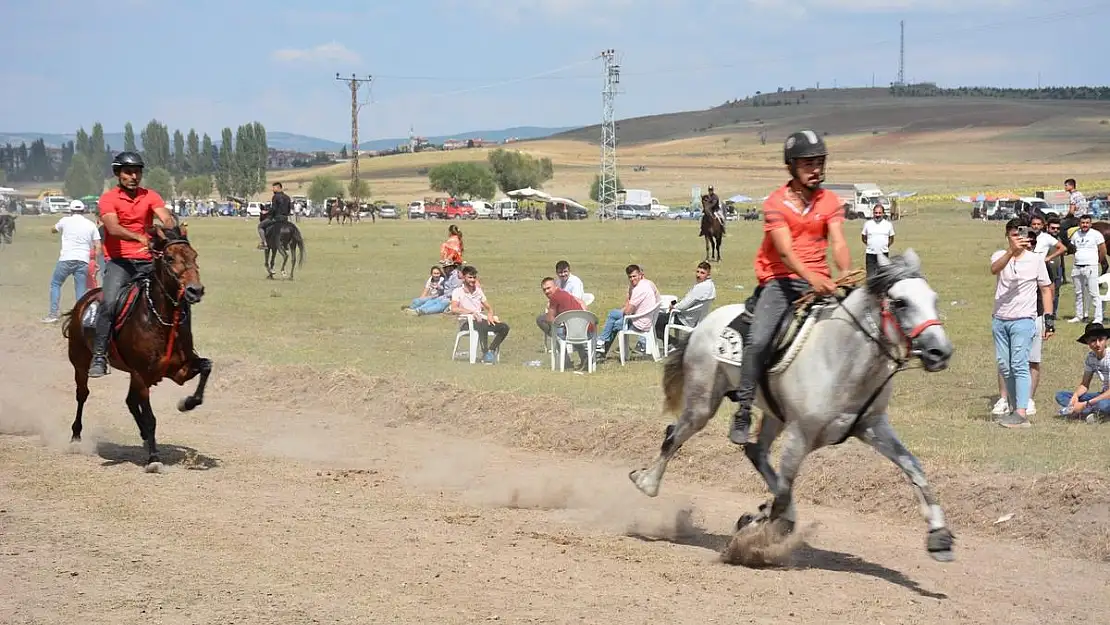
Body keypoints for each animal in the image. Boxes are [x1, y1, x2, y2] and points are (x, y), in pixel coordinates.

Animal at [62, 222, 212, 472]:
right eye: (169, 258)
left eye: (195, 255)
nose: (195, 290)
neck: (160, 318)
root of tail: (82, 303)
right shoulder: (142, 375)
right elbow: (150, 418)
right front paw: (153, 459)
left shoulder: (179, 370)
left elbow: (207, 367)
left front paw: (187, 403)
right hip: (80, 363)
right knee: (82, 395)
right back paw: (75, 437)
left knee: (130, 401)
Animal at [630, 251, 959, 563]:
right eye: (901, 302)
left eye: (934, 299)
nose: (940, 352)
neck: (842, 356)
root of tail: (703, 325)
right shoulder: (800, 434)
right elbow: (785, 489)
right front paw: (753, 538)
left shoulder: (872, 425)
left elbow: (913, 467)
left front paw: (939, 536)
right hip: (702, 402)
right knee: (675, 434)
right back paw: (646, 482)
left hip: (773, 415)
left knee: (755, 451)